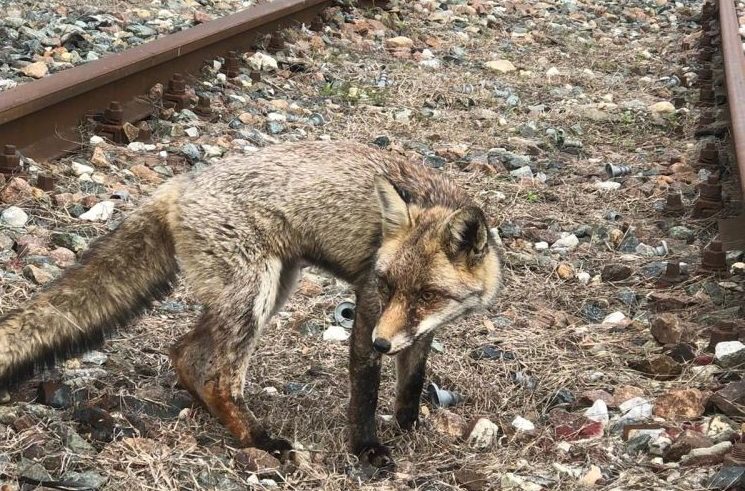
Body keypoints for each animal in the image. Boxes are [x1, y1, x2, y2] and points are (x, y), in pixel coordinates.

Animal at [0, 140, 502, 467]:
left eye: (427, 295)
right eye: (386, 283)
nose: (382, 345)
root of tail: (178, 184)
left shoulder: (420, 328)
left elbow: (412, 380)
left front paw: (408, 423)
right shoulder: (368, 309)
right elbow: (365, 389)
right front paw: (367, 448)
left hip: (270, 288)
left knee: (184, 352)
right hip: (254, 295)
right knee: (218, 376)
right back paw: (259, 440)